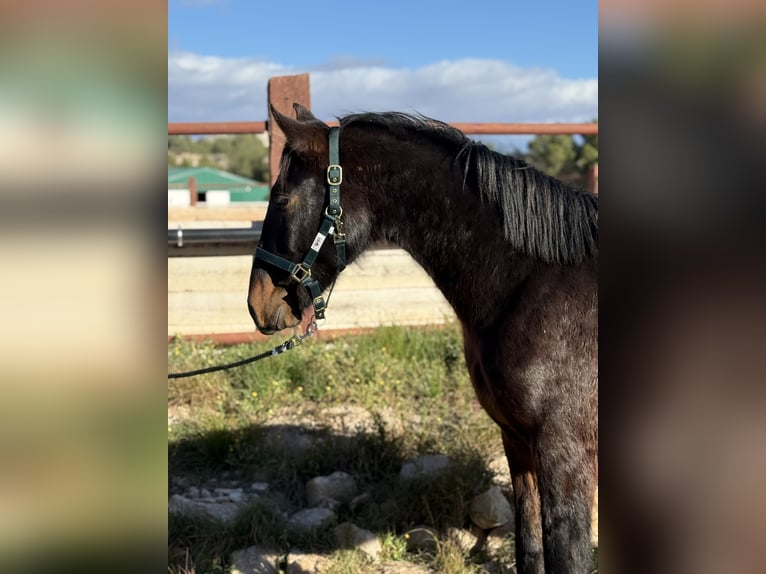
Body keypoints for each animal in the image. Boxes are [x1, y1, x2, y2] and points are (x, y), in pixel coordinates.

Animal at [247, 103, 598, 574]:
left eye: (282, 199)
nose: (258, 302)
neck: (532, 282)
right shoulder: (519, 443)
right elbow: (529, 549)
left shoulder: (565, 452)